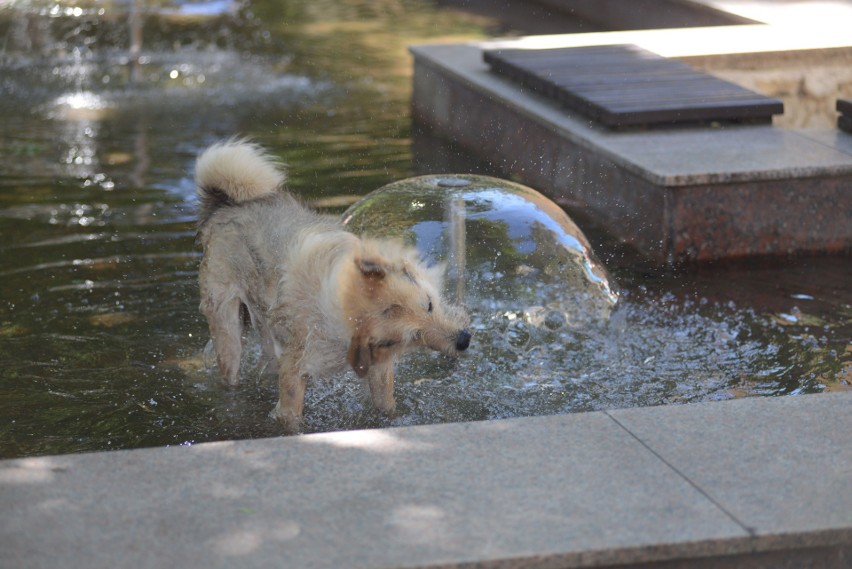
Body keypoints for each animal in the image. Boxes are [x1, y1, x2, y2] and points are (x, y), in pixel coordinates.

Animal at [196, 139, 470, 430]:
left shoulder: (379, 368)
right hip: (228, 330)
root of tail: (226, 205)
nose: (464, 340)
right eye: (413, 336)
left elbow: (386, 407)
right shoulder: (295, 370)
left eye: (429, 304)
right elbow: (292, 417)